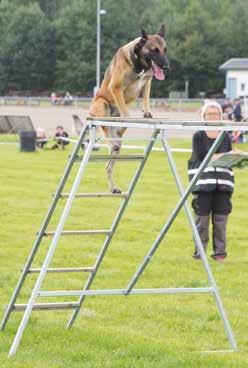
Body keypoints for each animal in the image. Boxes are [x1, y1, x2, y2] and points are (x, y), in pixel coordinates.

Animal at [89, 24, 169, 194]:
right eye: (154, 50)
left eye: (165, 49)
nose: (166, 66)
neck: (139, 64)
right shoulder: (116, 88)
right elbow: (126, 111)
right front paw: (131, 115)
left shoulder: (147, 81)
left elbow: (146, 99)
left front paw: (147, 112)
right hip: (102, 105)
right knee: (106, 132)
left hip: (118, 147)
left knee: (109, 165)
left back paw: (113, 188)